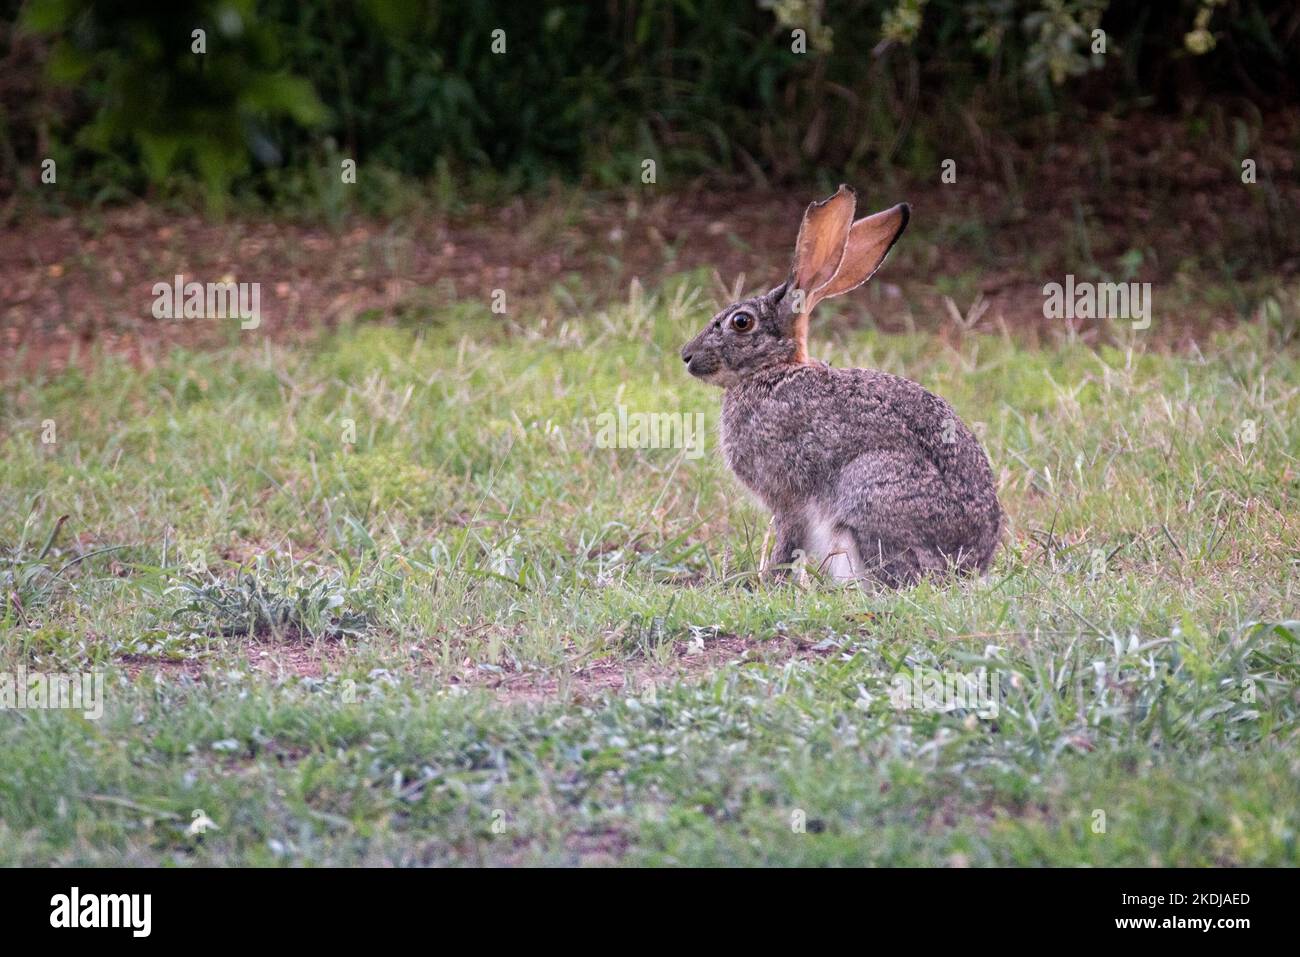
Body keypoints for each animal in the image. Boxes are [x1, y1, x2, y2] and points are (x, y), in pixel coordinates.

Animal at [680, 184, 1002, 588]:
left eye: (741, 322)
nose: (687, 356)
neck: (774, 370)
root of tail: (967, 566)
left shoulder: (788, 497)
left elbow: (788, 540)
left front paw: (768, 583)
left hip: (869, 484)